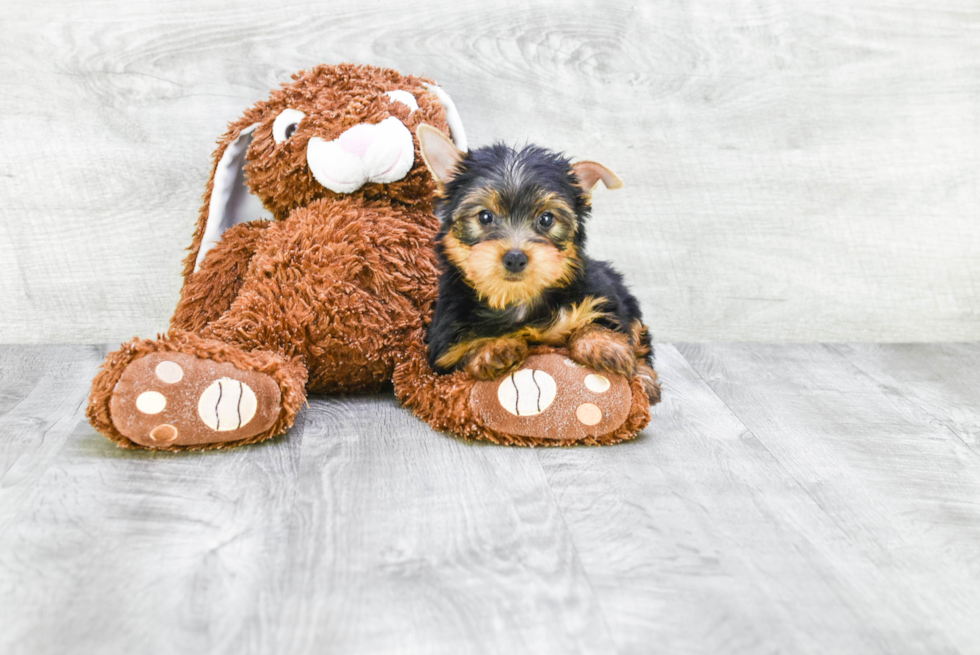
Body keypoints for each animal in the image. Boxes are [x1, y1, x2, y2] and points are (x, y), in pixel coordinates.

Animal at [414, 121, 660, 402]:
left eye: (546, 219)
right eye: (485, 216)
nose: (515, 258)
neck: (517, 296)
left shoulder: (603, 296)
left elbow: (601, 322)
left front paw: (604, 346)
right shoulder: (444, 346)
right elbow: (463, 353)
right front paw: (492, 348)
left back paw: (645, 378)